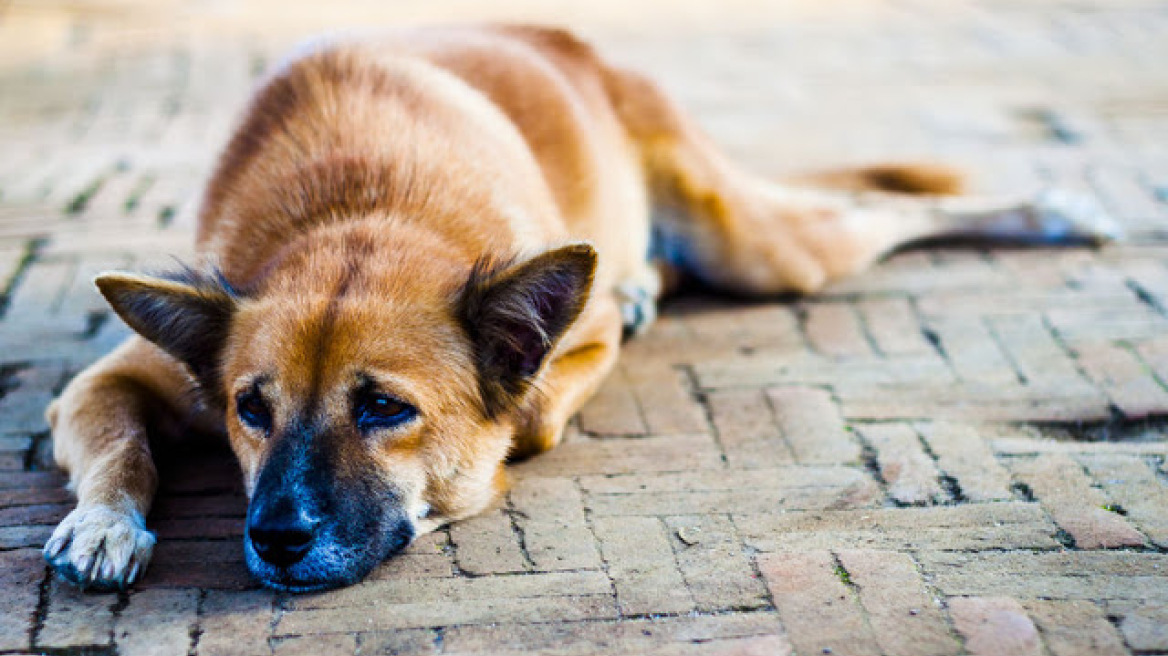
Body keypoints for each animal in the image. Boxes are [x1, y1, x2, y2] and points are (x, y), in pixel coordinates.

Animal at [45, 25, 1116, 590]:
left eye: (385, 408)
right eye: (250, 410)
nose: (274, 539)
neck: (356, 213)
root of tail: (568, 40)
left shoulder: (571, 343)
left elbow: (531, 420)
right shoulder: (106, 382)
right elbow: (117, 441)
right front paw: (103, 523)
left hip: (763, 250)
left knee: (882, 210)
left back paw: (1052, 211)